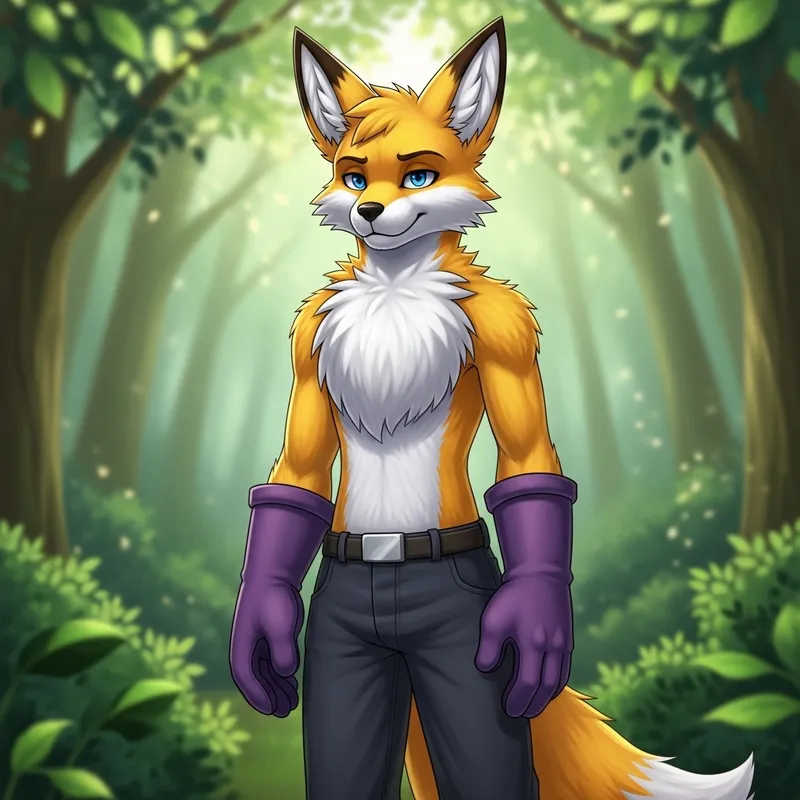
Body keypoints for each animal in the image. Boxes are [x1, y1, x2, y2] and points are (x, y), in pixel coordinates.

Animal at [228, 15, 756, 800]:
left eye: (418, 175)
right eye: (355, 176)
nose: (369, 210)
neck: (395, 290)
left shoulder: (505, 329)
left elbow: (528, 467)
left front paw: (536, 629)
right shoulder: (307, 340)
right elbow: (296, 478)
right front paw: (257, 638)